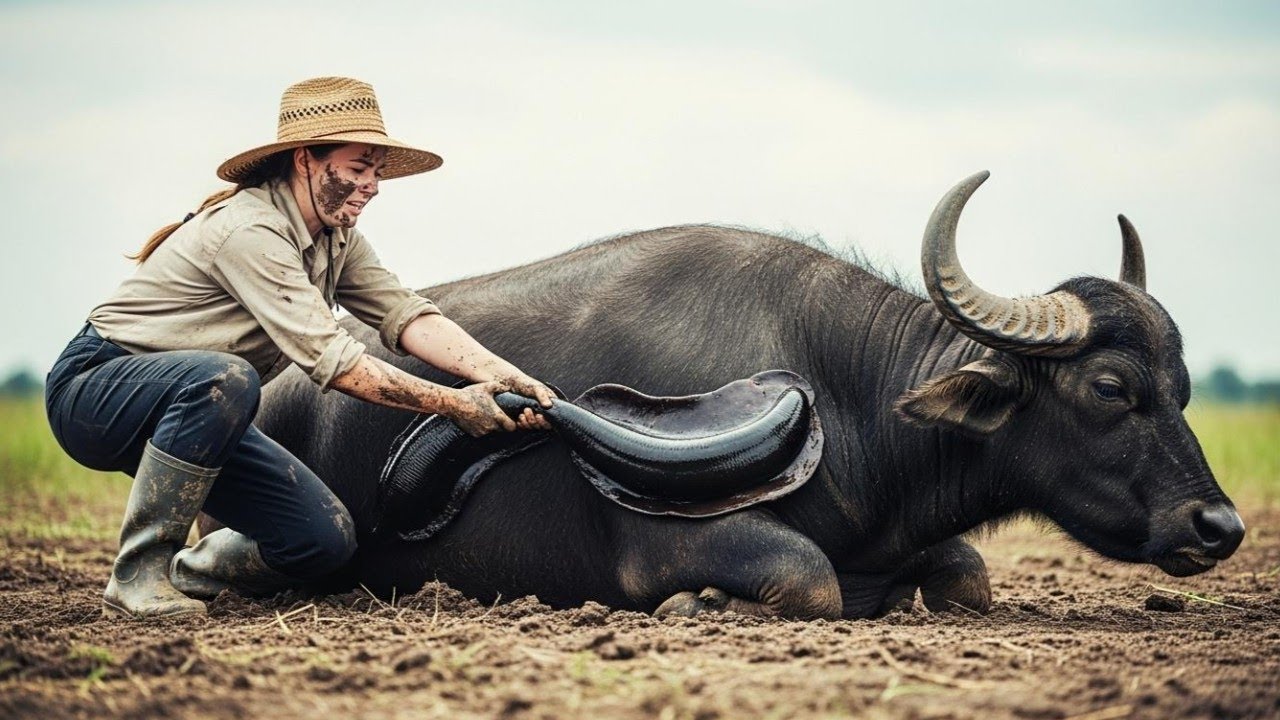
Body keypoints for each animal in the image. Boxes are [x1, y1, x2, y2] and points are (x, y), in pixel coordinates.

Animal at [252, 171, 1244, 619]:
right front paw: (699, 607)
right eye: (1111, 387)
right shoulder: (675, 549)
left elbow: (969, 577)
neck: (847, 400)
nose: (1220, 527)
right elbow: (808, 579)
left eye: (1182, 387)